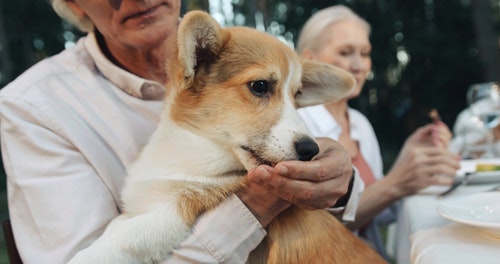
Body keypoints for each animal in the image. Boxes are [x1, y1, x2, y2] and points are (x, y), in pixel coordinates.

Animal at [68, 10, 384, 264]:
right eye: (260, 86)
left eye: (297, 96)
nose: (311, 150)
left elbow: (119, 242)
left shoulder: (172, 212)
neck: (192, 153)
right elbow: (114, 229)